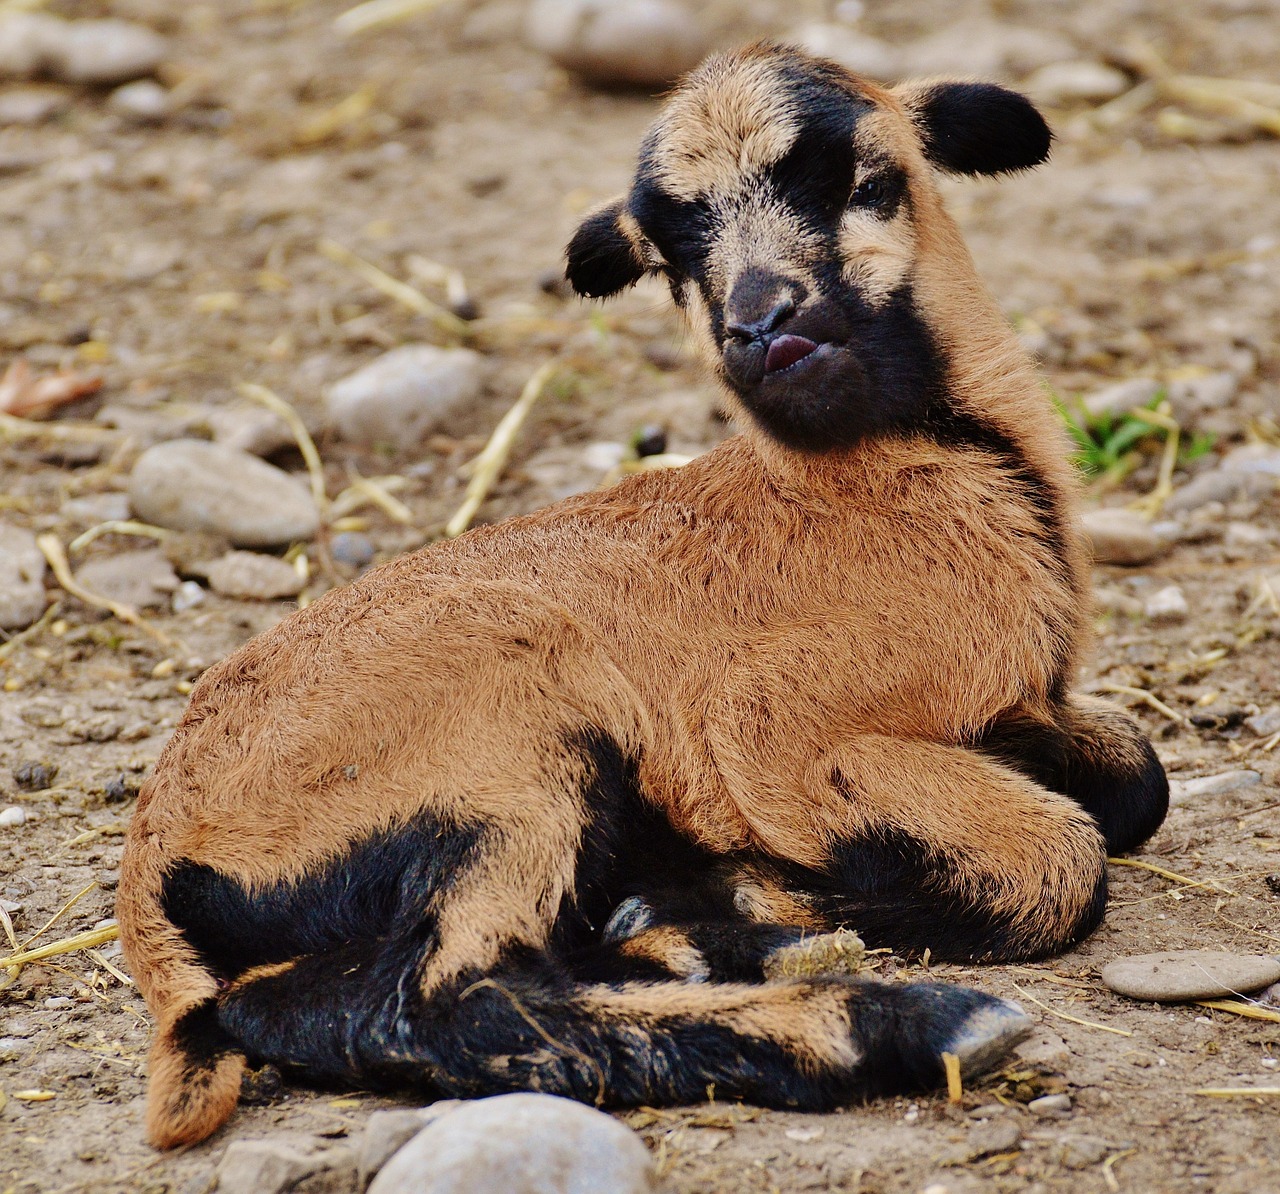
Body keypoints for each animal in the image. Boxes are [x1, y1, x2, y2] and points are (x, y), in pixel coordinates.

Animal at [120, 44, 1172, 1146]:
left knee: (301, 1004)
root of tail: (155, 861)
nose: (760, 324)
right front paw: (758, 893)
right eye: (672, 263)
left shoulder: (1016, 705)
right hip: (501, 747)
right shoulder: (772, 725)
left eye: (867, 182)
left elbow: (1136, 777)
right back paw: (891, 1019)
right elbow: (1059, 862)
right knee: (451, 995)